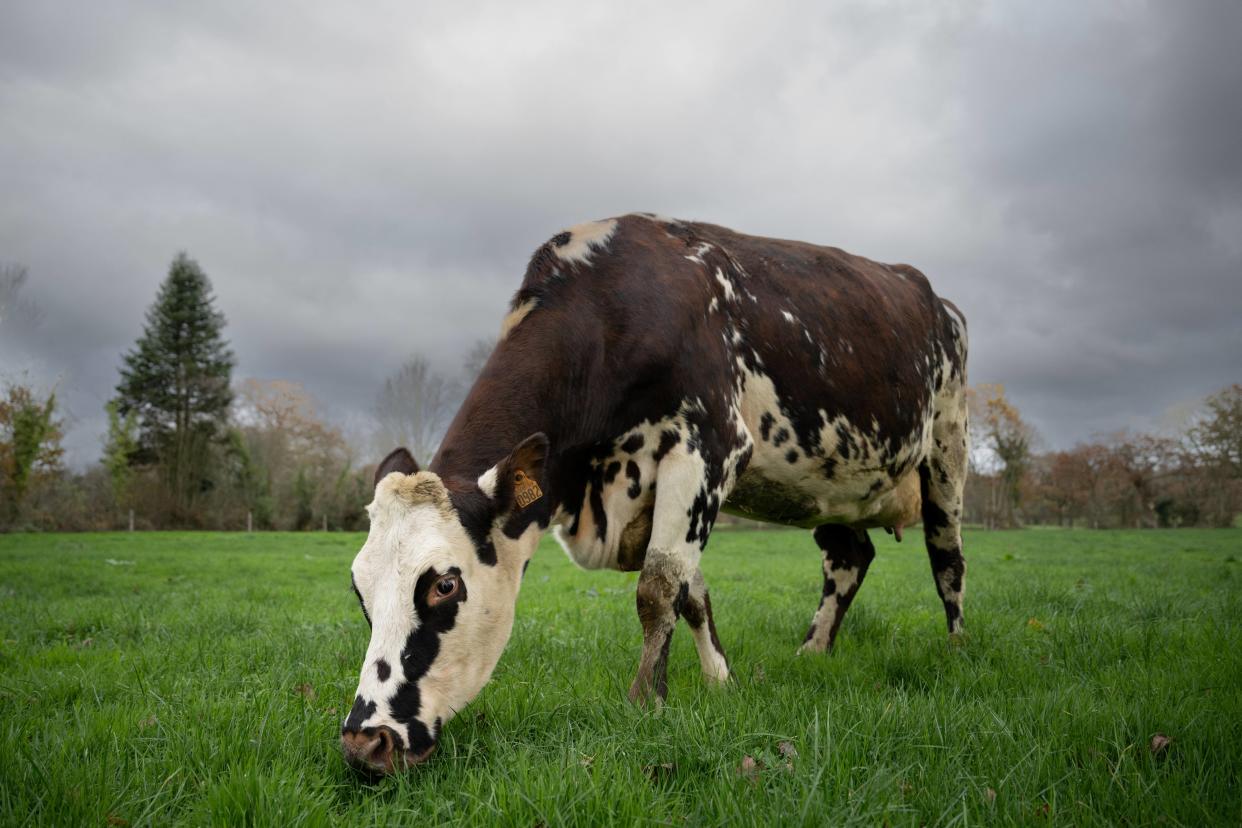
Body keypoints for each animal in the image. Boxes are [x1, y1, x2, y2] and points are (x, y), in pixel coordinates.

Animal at [340, 215, 968, 779]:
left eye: (444, 585)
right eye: (358, 589)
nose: (366, 742)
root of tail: (935, 297)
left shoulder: (706, 448)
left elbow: (659, 587)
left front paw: (647, 702)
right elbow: (693, 594)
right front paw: (720, 682)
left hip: (947, 448)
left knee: (947, 560)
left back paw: (957, 649)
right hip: (828, 484)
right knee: (849, 557)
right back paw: (813, 652)